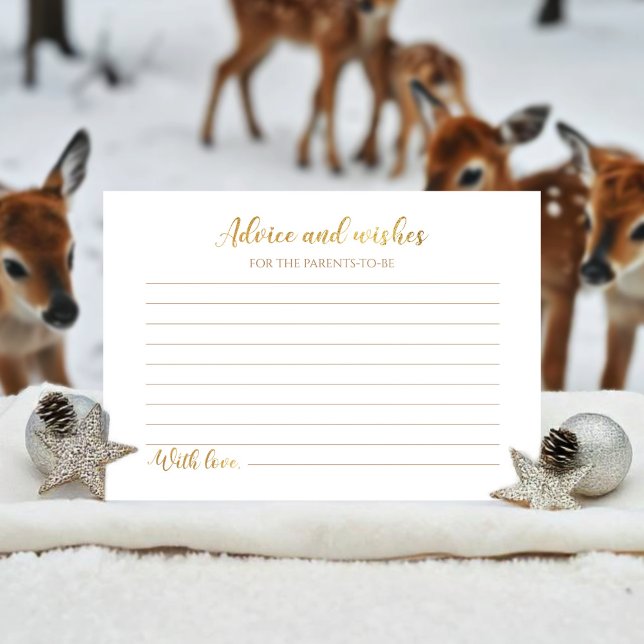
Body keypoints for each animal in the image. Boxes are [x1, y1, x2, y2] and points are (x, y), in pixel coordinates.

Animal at [199, 0, 398, 173]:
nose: (366, 4)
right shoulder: (327, 47)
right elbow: (328, 102)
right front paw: (333, 163)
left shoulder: (356, 58)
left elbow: (322, 99)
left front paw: (369, 158)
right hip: (255, 30)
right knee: (223, 67)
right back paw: (207, 137)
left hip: (269, 41)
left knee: (244, 73)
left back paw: (255, 131)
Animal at [355, 38, 472, 178]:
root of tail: (437, 66)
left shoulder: (390, 98)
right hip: (459, 97)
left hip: (412, 104)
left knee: (404, 138)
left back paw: (395, 173)